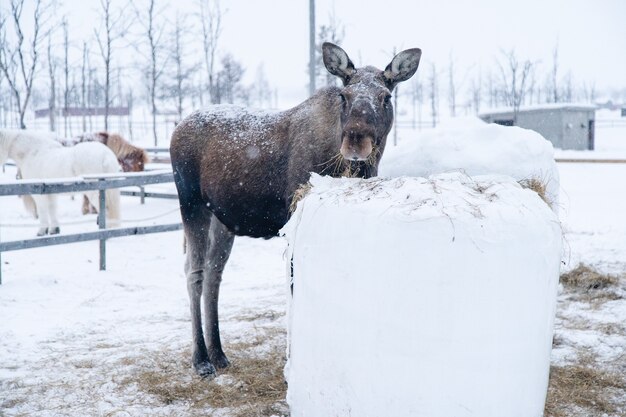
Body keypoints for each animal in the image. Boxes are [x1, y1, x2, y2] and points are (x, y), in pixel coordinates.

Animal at [169, 43, 420, 376]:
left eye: (386, 97)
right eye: (345, 96)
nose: (356, 142)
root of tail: (177, 129)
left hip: (223, 219)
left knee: (213, 274)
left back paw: (219, 353)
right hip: (192, 205)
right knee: (193, 272)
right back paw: (200, 359)